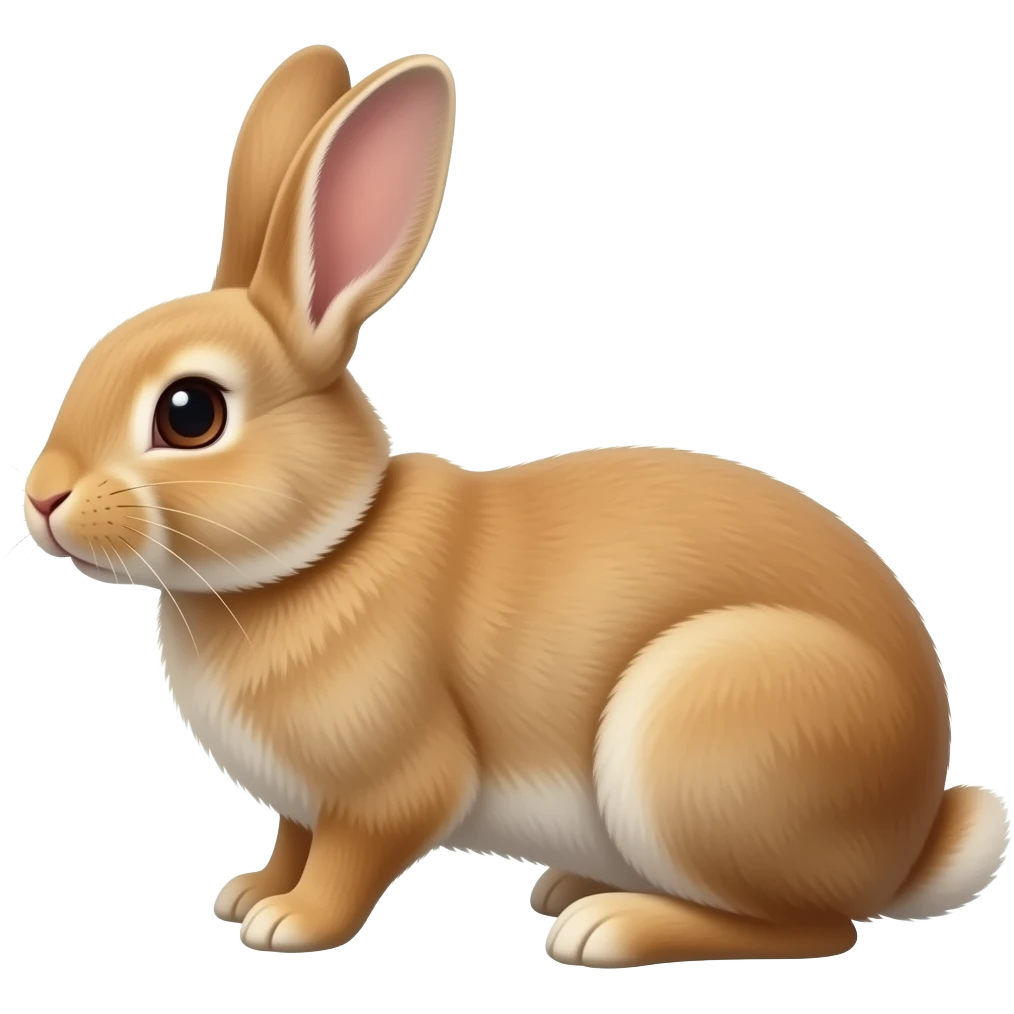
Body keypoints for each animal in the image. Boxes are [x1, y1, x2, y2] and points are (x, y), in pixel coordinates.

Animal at [22, 43, 1009, 968]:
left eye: (191, 414)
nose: (42, 498)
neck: (328, 548)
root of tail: (910, 839)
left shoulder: (388, 789)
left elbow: (349, 858)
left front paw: (290, 923)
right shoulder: (302, 804)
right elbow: (293, 841)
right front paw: (250, 892)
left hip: (704, 735)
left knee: (817, 925)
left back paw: (607, 926)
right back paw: (574, 888)